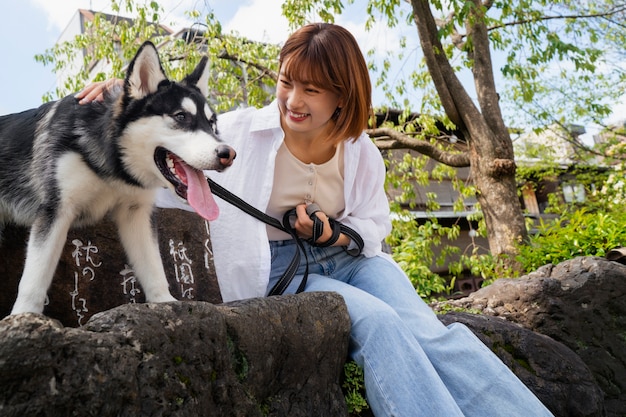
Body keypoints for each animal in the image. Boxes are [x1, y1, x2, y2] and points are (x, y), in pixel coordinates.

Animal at [0, 43, 234, 316]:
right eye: (181, 117)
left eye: (212, 123)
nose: (228, 154)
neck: (114, 166)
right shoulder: (55, 209)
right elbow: (35, 276)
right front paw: (24, 315)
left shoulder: (136, 212)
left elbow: (153, 265)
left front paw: (166, 302)